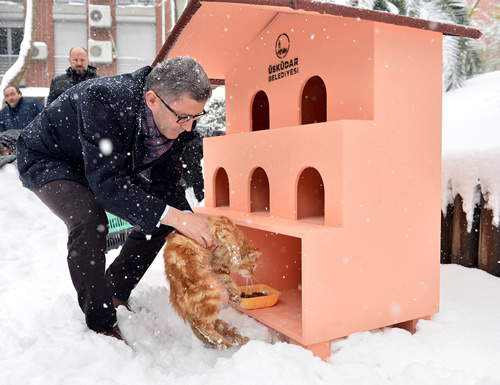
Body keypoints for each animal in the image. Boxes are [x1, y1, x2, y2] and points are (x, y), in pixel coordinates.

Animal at [164, 216, 262, 348]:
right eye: (253, 266)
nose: (252, 274)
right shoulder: (220, 224)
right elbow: (231, 241)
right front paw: (235, 256)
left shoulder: (219, 267)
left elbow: (229, 282)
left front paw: (234, 296)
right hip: (211, 293)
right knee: (202, 326)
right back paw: (226, 345)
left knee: (198, 327)